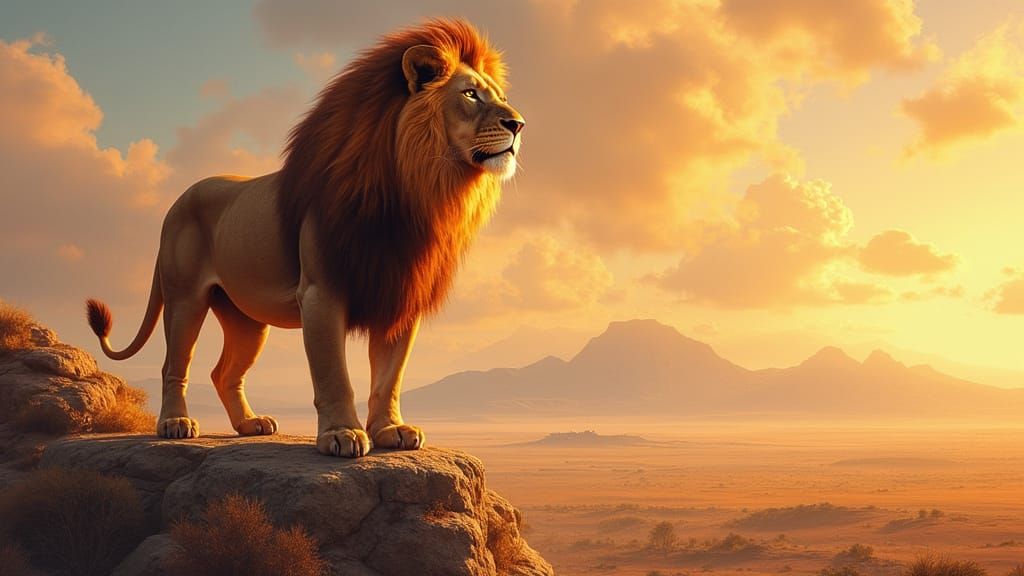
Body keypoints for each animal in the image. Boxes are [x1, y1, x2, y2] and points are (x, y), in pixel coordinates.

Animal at [85, 19, 524, 457]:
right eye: (470, 94)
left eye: (501, 98)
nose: (518, 125)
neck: (416, 190)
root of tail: (176, 202)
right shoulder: (321, 293)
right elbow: (334, 375)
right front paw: (341, 434)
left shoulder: (398, 294)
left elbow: (389, 377)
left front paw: (390, 430)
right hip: (184, 298)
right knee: (174, 364)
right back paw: (175, 423)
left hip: (247, 320)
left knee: (224, 372)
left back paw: (250, 424)